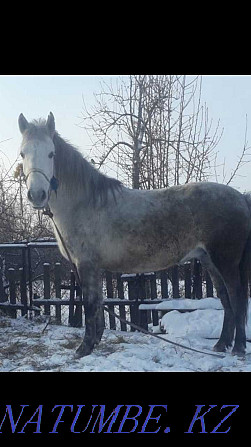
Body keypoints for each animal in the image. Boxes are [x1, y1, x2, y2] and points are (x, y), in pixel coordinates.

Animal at [18, 114, 251, 358]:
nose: (37, 195)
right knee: (226, 300)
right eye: (22, 153)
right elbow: (98, 303)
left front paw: (84, 348)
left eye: (51, 153)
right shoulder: (93, 266)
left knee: (236, 298)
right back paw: (221, 345)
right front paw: (95, 341)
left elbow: (90, 303)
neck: (83, 204)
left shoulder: (86, 264)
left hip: (225, 262)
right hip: (209, 261)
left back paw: (238, 348)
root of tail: (241, 198)